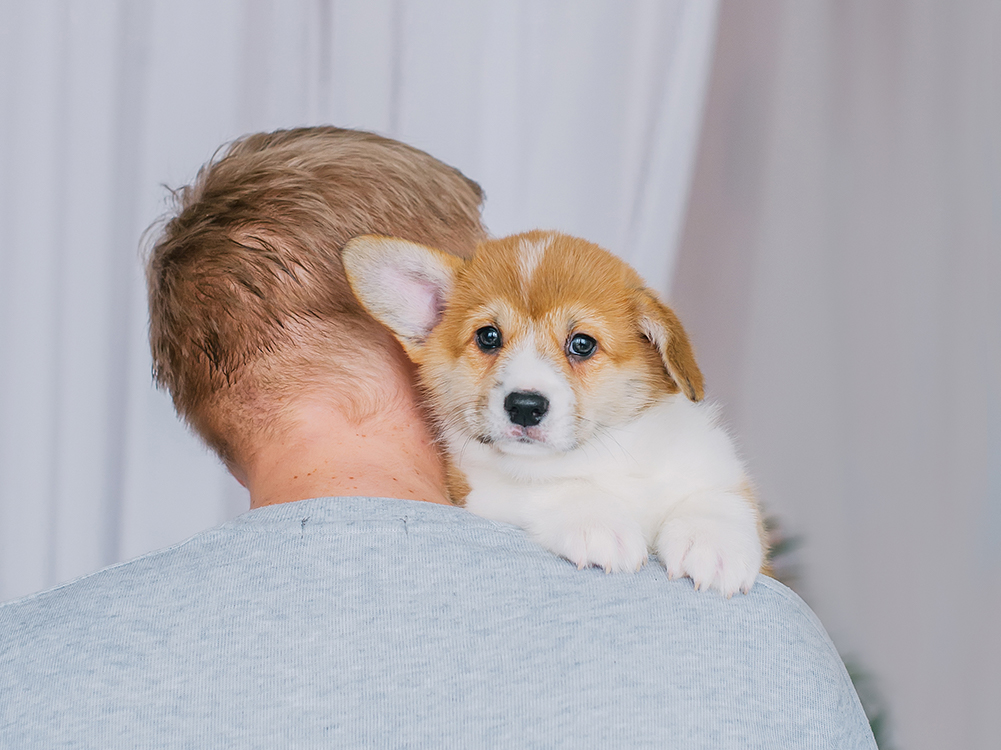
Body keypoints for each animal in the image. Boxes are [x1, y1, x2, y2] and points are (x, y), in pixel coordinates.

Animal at [344, 231, 764, 592]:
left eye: (582, 343)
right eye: (488, 337)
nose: (524, 407)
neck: (600, 453)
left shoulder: (713, 464)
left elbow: (716, 497)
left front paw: (714, 545)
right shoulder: (479, 488)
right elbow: (552, 488)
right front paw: (599, 522)